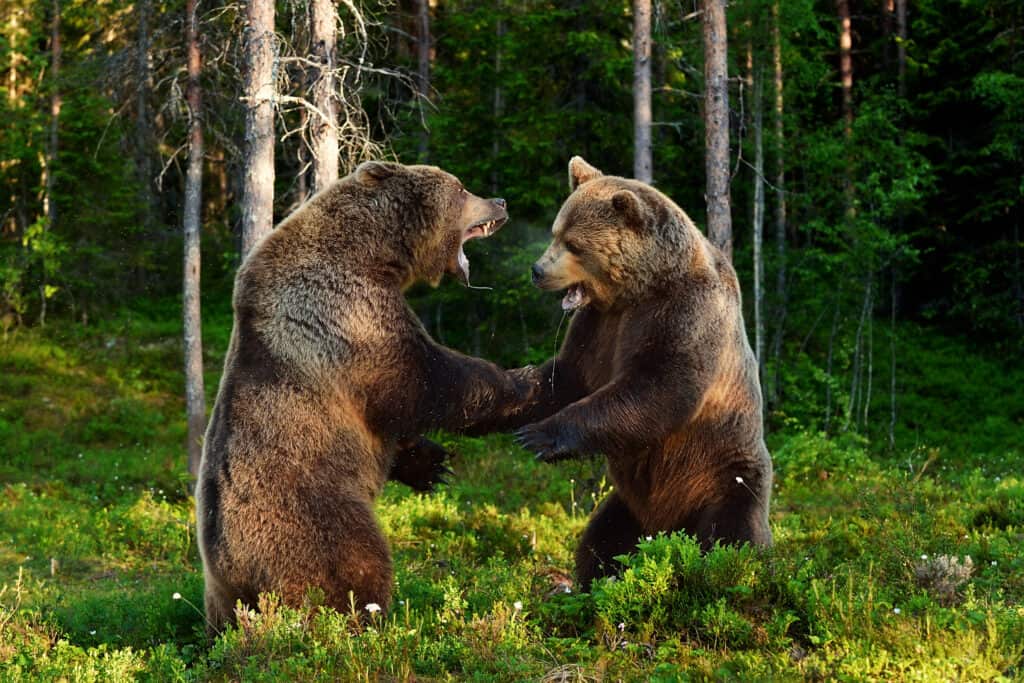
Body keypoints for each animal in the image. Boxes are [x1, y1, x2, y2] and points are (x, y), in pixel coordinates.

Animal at [194, 161, 540, 634]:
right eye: (461, 188)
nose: (501, 201)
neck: (375, 255)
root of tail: (234, 569)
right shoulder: (347, 315)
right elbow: (424, 381)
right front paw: (526, 380)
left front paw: (432, 465)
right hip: (314, 517)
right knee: (357, 565)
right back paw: (372, 623)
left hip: (221, 597)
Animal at [507, 157, 770, 589]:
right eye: (555, 233)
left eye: (573, 244)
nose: (537, 270)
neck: (639, 289)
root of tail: (668, 527)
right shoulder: (600, 325)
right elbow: (567, 377)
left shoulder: (685, 314)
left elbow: (658, 388)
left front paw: (538, 435)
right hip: (629, 503)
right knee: (603, 538)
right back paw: (590, 583)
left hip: (723, 475)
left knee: (733, 538)